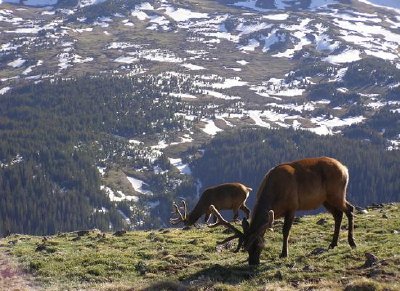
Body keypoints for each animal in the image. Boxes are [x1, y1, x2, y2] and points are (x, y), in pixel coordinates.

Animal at [209, 157, 356, 266]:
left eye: (258, 245)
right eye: (246, 248)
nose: (253, 263)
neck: (274, 195)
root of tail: (345, 168)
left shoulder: (292, 206)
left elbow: (285, 231)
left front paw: (284, 253)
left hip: (337, 193)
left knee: (350, 209)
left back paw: (352, 242)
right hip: (325, 199)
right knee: (338, 215)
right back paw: (333, 243)